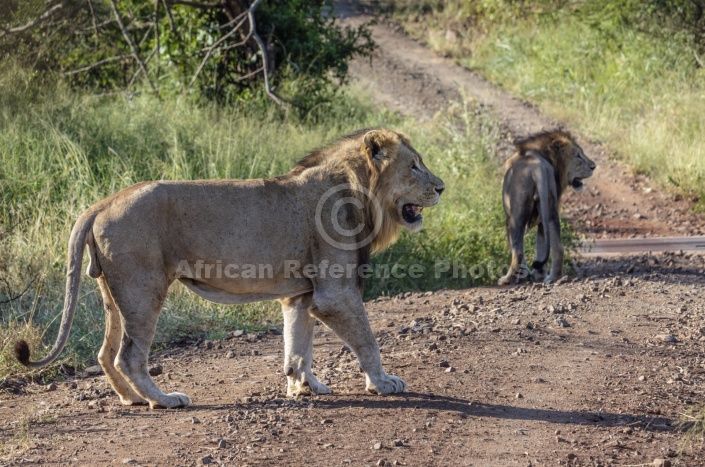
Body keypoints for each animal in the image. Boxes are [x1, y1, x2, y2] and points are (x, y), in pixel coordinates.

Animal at [15, 128, 446, 410]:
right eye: (414, 166)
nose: (442, 187)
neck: (360, 192)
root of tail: (102, 203)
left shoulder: (301, 294)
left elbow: (298, 345)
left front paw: (303, 387)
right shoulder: (334, 294)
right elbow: (367, 341)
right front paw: (383, 383)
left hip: (113, 291)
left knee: (105, 352)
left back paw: (131, 399)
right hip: (143, 289)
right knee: (129, 356)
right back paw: (163, 400)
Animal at [496, 130, 592, 288]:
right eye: (578, 155)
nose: (593, 166)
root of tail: (538, 167)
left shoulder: (508, 217)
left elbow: (517, 248)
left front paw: (524, 275)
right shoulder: (542, 219)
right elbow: (541, 245)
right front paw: (536, 275)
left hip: (515, 216)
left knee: (518, 252)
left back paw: (506, 279)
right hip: (551, 209)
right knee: (558, 247)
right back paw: (553, 278)